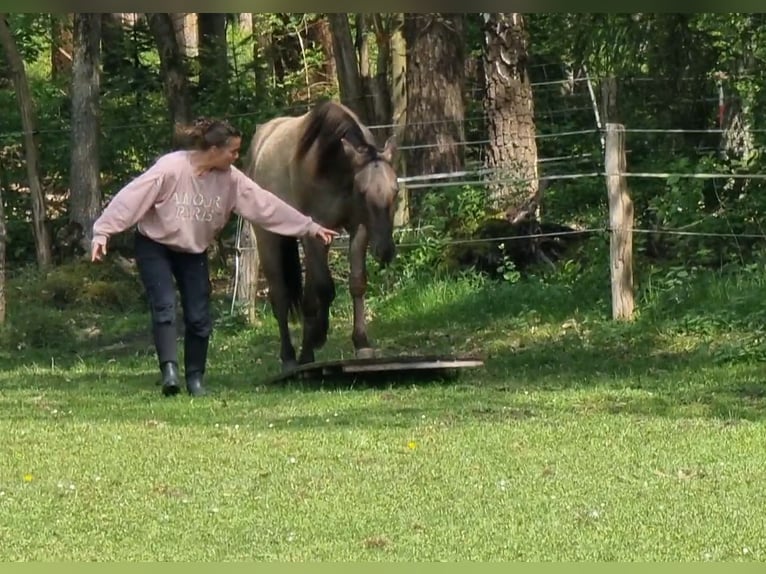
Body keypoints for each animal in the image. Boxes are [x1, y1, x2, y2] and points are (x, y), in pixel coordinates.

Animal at [243, 100, 400, 372]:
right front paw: (318, 336)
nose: (385, 250)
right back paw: (289, 356)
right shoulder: (315, 231)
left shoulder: (358, 228)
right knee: (280, 296)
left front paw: (361, 343)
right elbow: (325, 288)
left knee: (307, 297)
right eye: (362, 191)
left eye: (396, 190)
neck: (330, 162)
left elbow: (356, 282)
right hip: (268, 238)